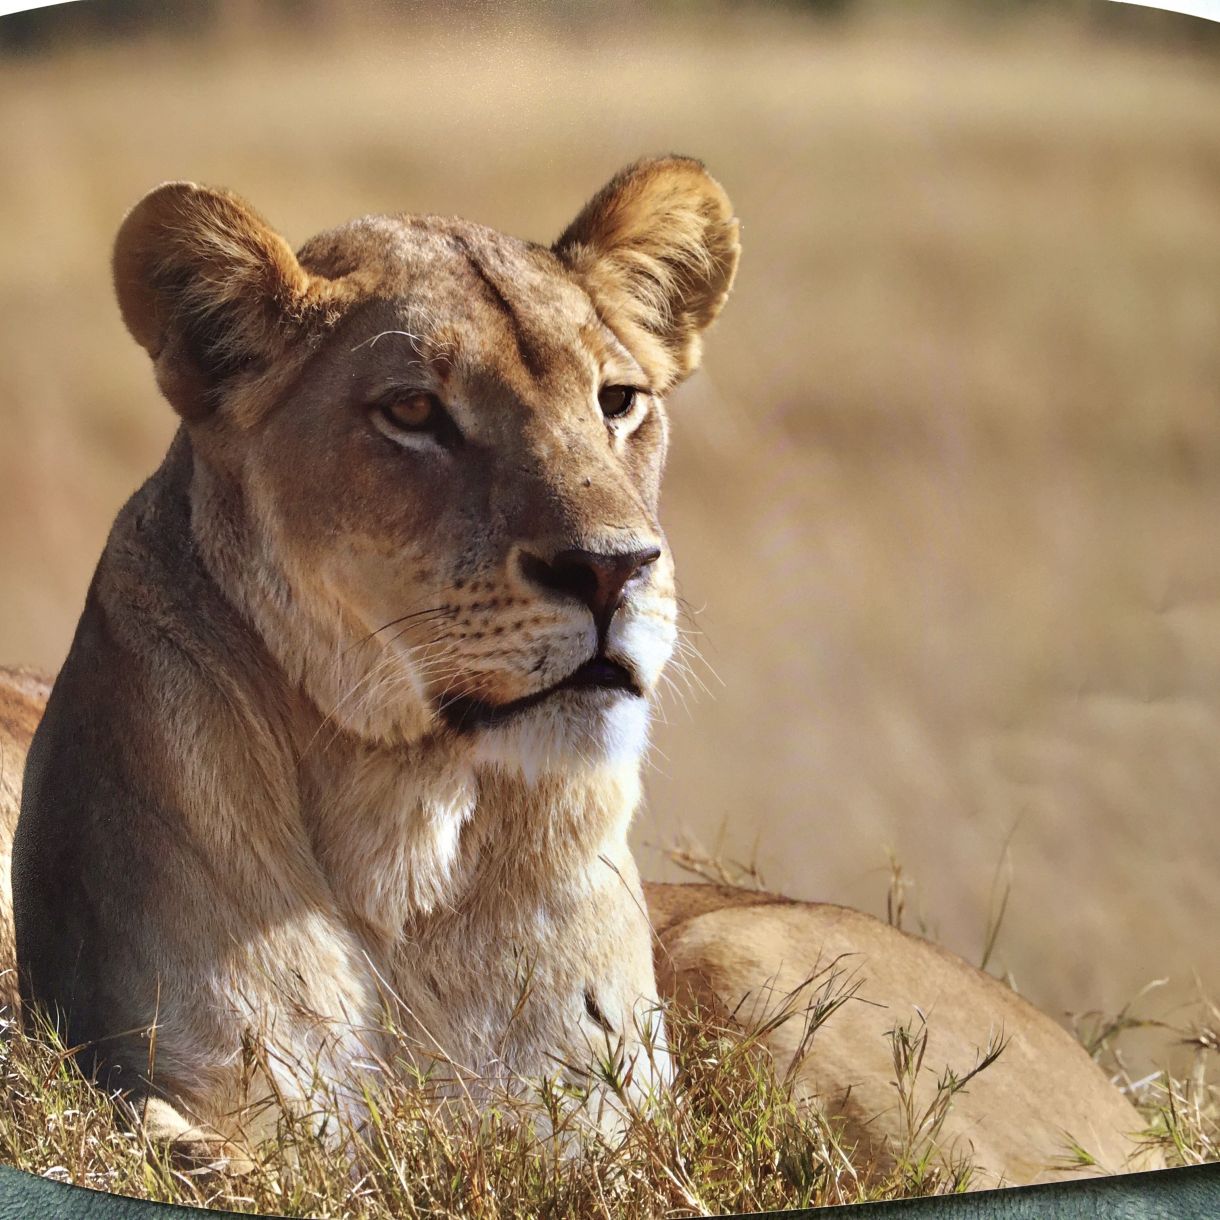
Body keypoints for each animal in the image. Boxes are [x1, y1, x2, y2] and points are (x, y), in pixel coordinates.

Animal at [0, 160, 1158, 1186]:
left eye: (618, 400)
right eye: (411, 413)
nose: (610, 568)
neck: (410, 832)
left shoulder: (604, 1132)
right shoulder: (222, 1085)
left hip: (738, 952)